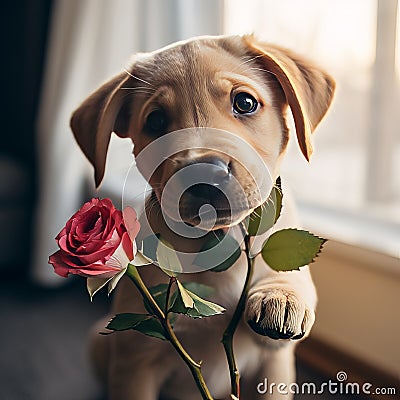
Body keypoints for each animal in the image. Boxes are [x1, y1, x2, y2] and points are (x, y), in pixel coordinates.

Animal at [71, 35, 334, 400]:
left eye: (245, 102)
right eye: (155, 121)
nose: (204, 173)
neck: (220, 240)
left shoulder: (275, 365)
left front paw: (281, 295)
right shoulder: (135, 362)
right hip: (99, 344)